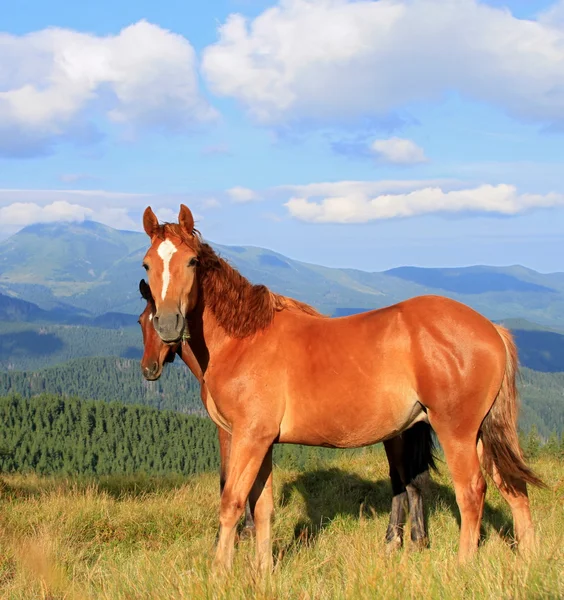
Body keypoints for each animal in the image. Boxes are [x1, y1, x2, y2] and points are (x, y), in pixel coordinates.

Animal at [137, 282, 436, 552]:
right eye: (141, 322)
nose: (149, 368)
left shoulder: (231, 430)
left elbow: (228, 481)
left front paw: (234, 535)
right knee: (405, 481)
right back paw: (402, 539)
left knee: (406, 480)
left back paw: (407, 540)